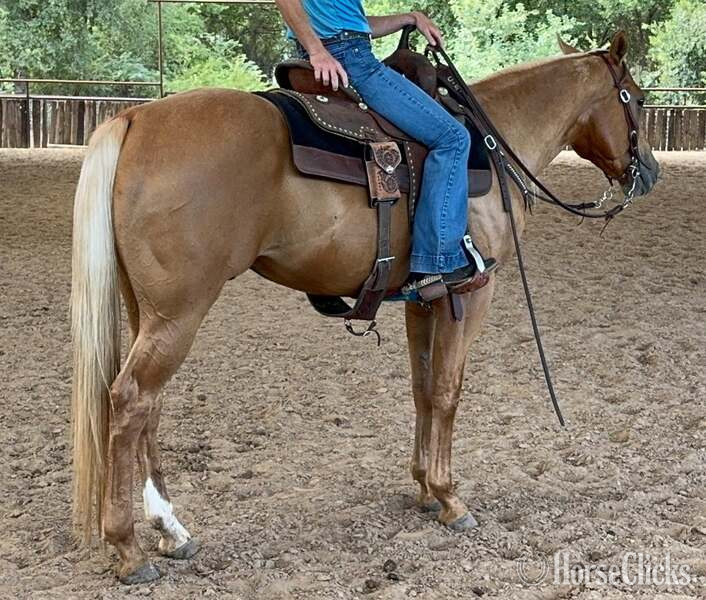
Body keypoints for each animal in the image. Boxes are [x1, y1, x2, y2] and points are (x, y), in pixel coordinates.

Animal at [70, 31, 659, 583]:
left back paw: (172, 530)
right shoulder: (471, 292)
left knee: (148, 406)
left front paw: (423, 489)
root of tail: (136, 117)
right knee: (129, 400)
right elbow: (448, 391)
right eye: (636, 97)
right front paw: (450, 497)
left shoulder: (424, 300)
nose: (649, 172)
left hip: (149, 312)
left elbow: (422, 388)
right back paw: (129, 549)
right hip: (179, 314)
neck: (492, 147)